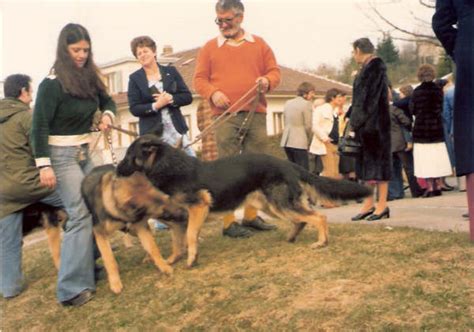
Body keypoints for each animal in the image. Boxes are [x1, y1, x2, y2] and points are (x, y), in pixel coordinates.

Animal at [80, 164, 188, 294]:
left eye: (167, 198)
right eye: (164, 211)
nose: (186, 213)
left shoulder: (141, 226)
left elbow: (153, 247)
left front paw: (163, 266)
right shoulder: (100, 234)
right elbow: (109, 259)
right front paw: (115, 283)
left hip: (135, 229)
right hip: (132, 230)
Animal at [116, 132, 372, 268]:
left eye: (129, 156)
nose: (116, 171)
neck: (168, 166)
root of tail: (287, 163)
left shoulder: (198, 209)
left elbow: (189, 237)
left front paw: (191, 259)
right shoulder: (180, 220)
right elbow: (178, 242)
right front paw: (172, 261)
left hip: (280, 204)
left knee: (318, 217)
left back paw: (321, 242)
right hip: (270, 206)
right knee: (301, 220)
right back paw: (291, 238)